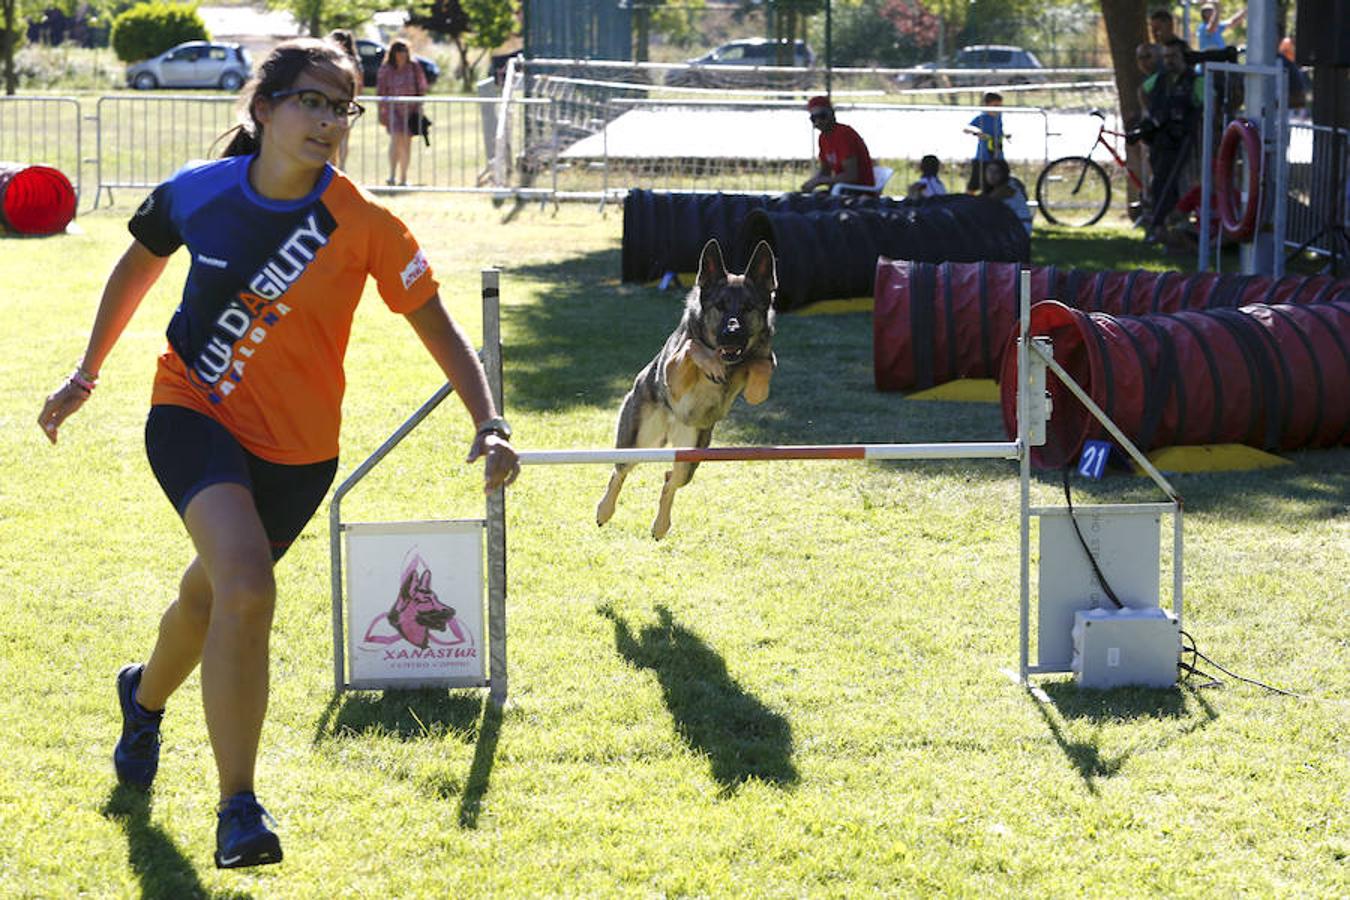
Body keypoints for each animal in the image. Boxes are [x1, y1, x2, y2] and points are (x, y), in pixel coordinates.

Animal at [596, 236, 777, 539]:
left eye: (748, 308)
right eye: (720, 306)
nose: (731, 333)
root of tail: (671, 426)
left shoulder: (757, 384)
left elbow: (763, 364)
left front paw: (747, 363)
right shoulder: (674, 375)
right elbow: (692, 346)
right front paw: (711, 363)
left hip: (690, 455)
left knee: (670, 479)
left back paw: (660, 525)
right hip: (637, 441)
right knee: (619, 472)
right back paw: (604, 510)